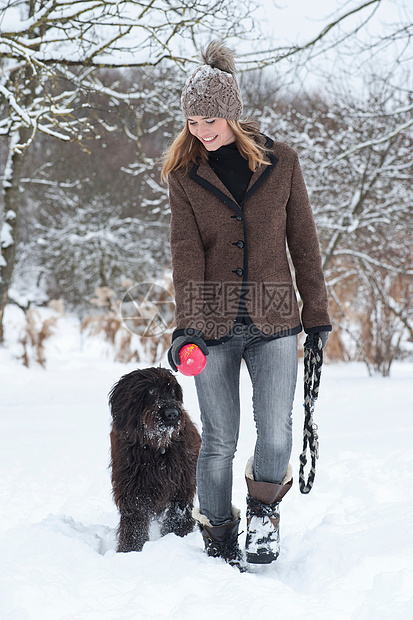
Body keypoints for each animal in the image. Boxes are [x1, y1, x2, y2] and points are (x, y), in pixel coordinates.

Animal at [108, 366, 200, 548]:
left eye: (173, 391)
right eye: (152, 391)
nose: (172, 414)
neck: (154, 448)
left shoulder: (181, 485)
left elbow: (177, 514)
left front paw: (176, 536)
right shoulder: (131, 488)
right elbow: (134, 521)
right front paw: (131, 549)